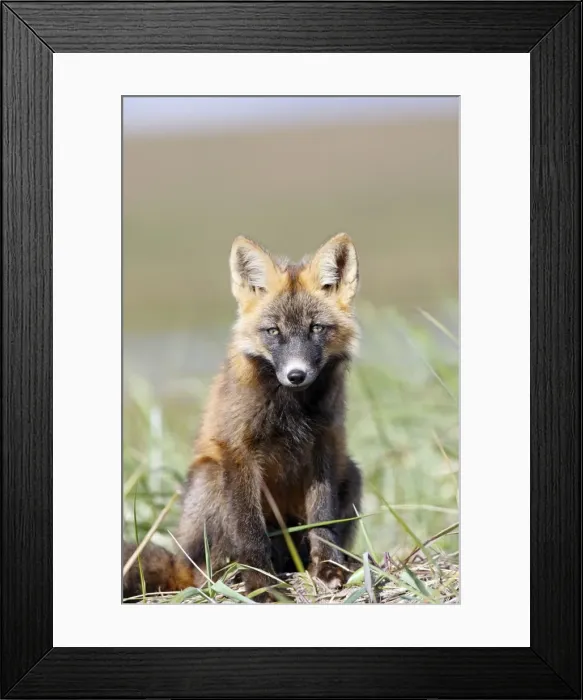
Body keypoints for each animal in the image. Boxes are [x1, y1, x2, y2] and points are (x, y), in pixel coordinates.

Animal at [123, 233, 362, 601]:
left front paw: (328, 568)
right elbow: (249, 530)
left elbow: (322, 519)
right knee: (205, 571)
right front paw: (261, 584)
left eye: (317, 328)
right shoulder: (238, 452)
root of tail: (179, 561)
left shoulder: (324, 445)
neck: (291, 412)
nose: (296, 375)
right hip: (211, 477)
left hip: (350, 470)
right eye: (273, 331)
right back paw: (227, 576)